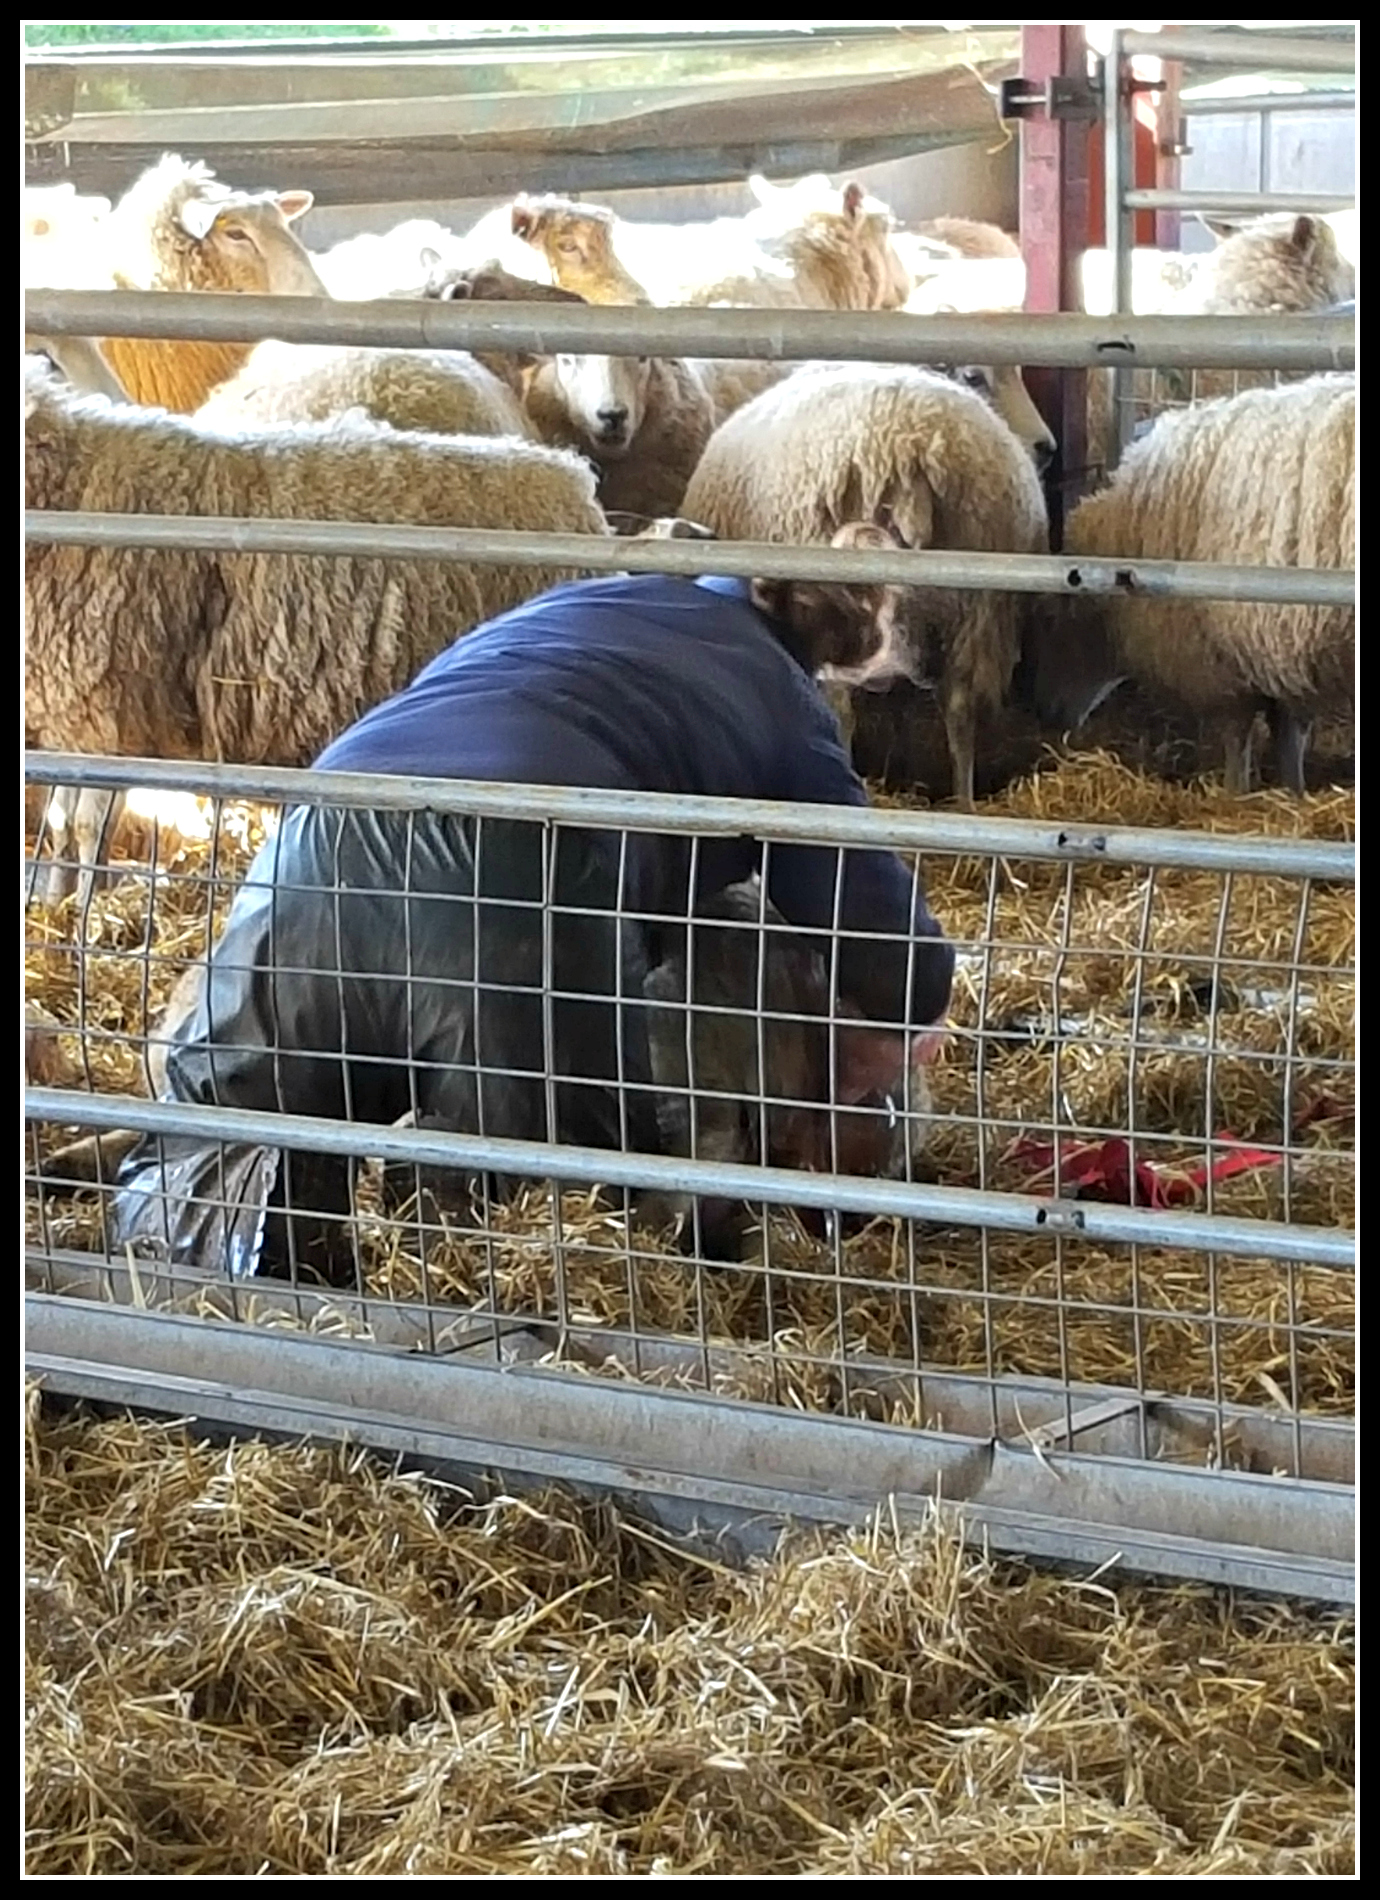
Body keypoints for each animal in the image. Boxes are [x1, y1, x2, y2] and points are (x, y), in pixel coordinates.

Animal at [25, 362, 612, 912]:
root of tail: (572, 485)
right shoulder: (72, 718)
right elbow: (61, 820)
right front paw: (55, 900)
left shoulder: (113, 718)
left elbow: (87, 828)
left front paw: (84, 910)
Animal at [688, 362, 1056, 809]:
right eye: (975, 376)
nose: (1046, 447)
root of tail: (912, 448)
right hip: (977, 610)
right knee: (959, 707)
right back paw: (965, 804)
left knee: (841, 710)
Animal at [1026, 370, 1360, 794]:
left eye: (1051, 622)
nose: (1043, 712)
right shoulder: (1282, 651)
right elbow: (1288, 733)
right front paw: (1293, 792)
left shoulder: (1223, 657)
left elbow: (1239, 733)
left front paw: (1236, 793)